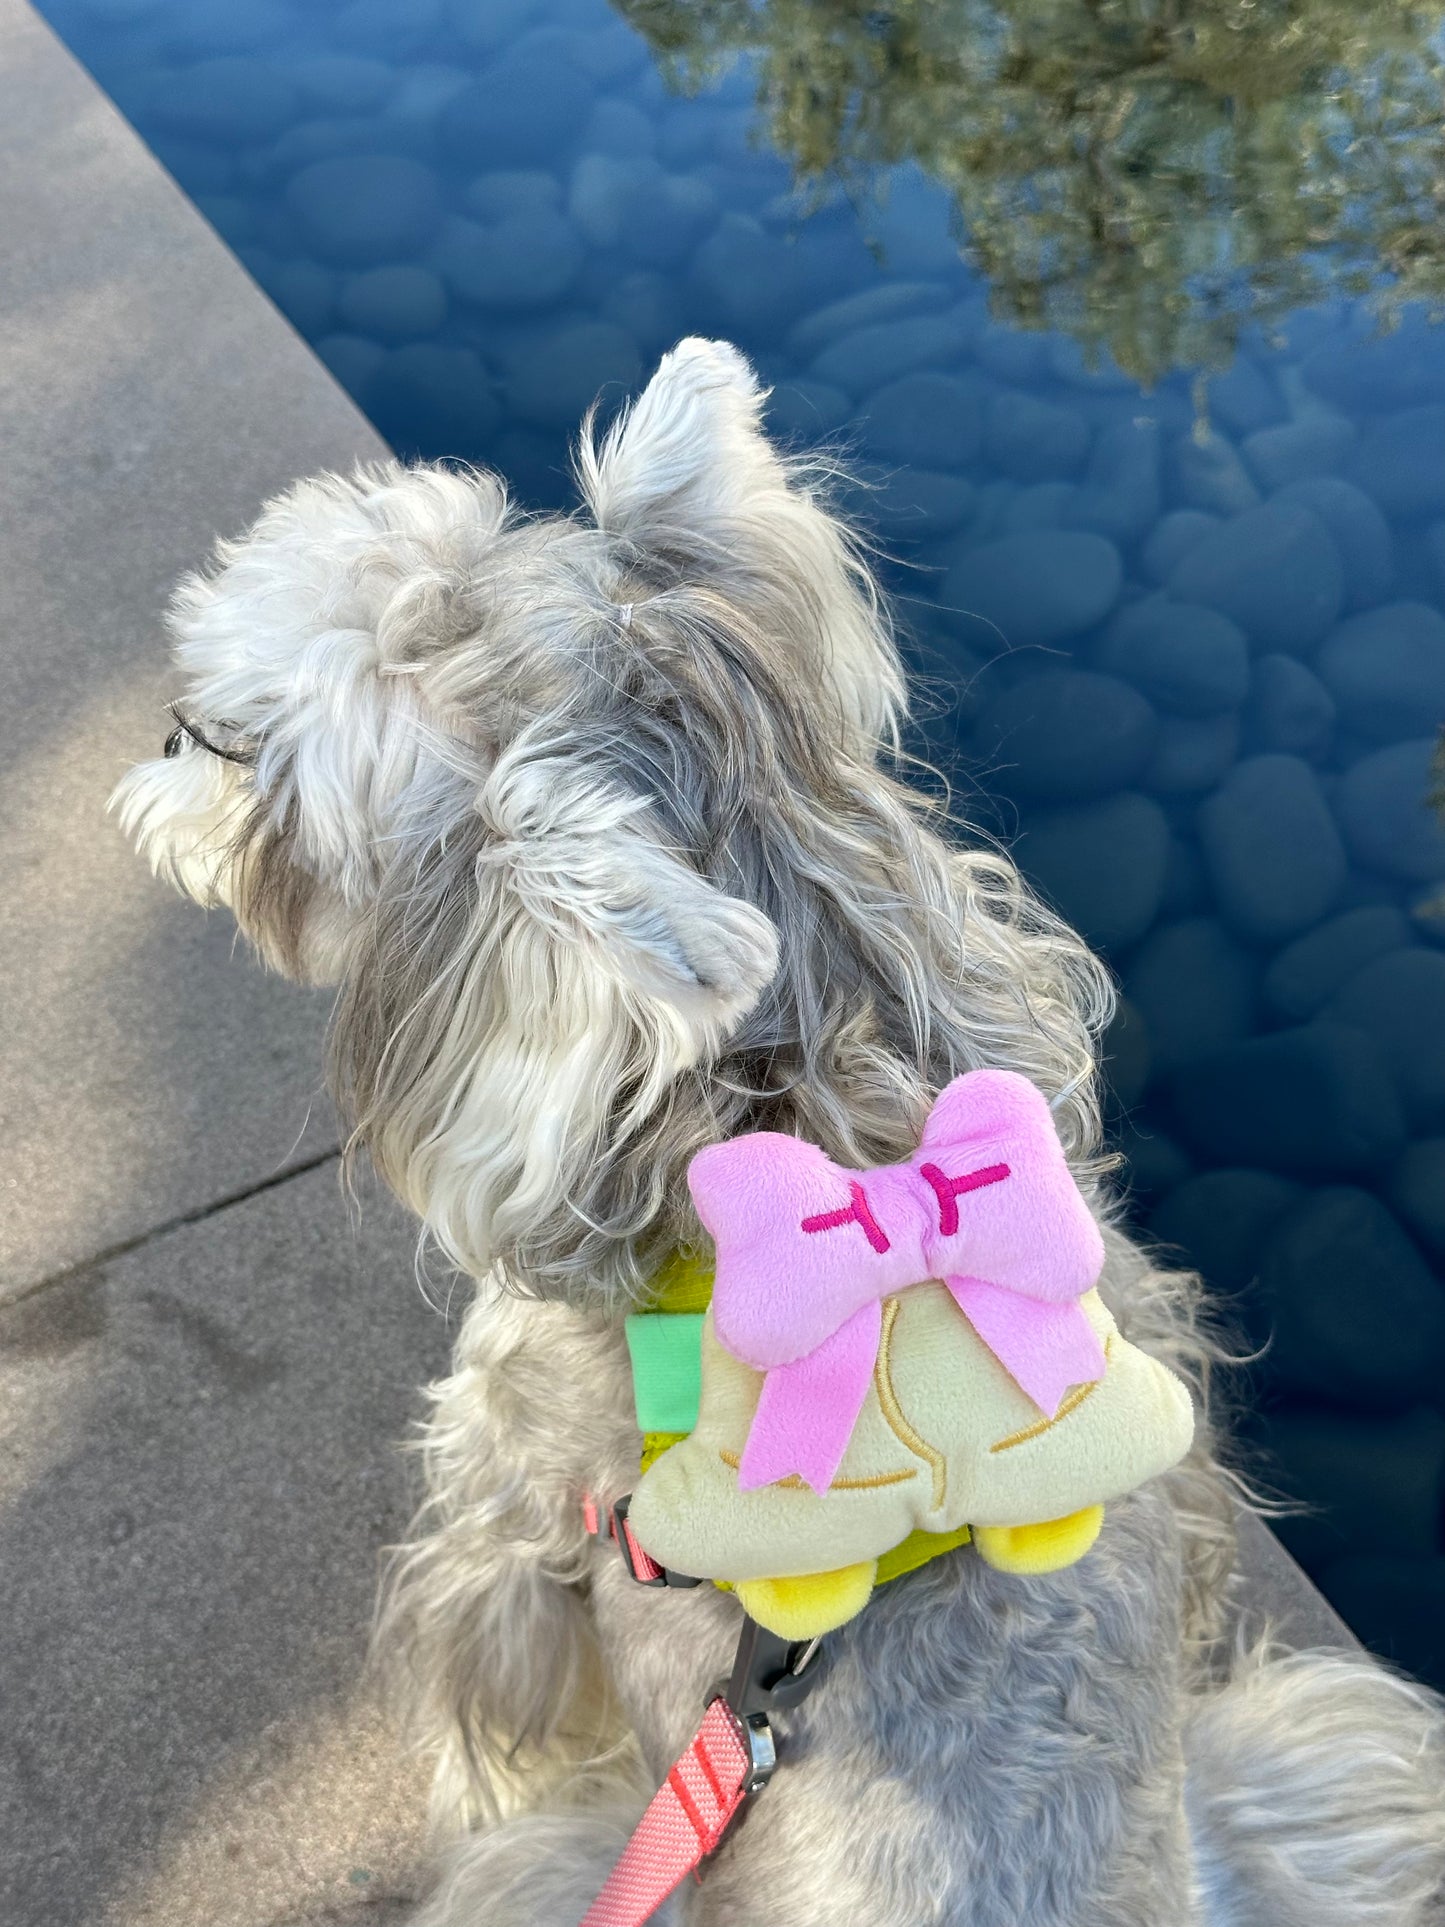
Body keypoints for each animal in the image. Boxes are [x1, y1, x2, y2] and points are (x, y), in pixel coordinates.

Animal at [116, 339, 1445, 1919]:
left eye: (231, 746)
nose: (160, 733)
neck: (815, 1110)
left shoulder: (498, 1516)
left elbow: (483, 1697)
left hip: (560, 1869)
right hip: (1305, 1763)